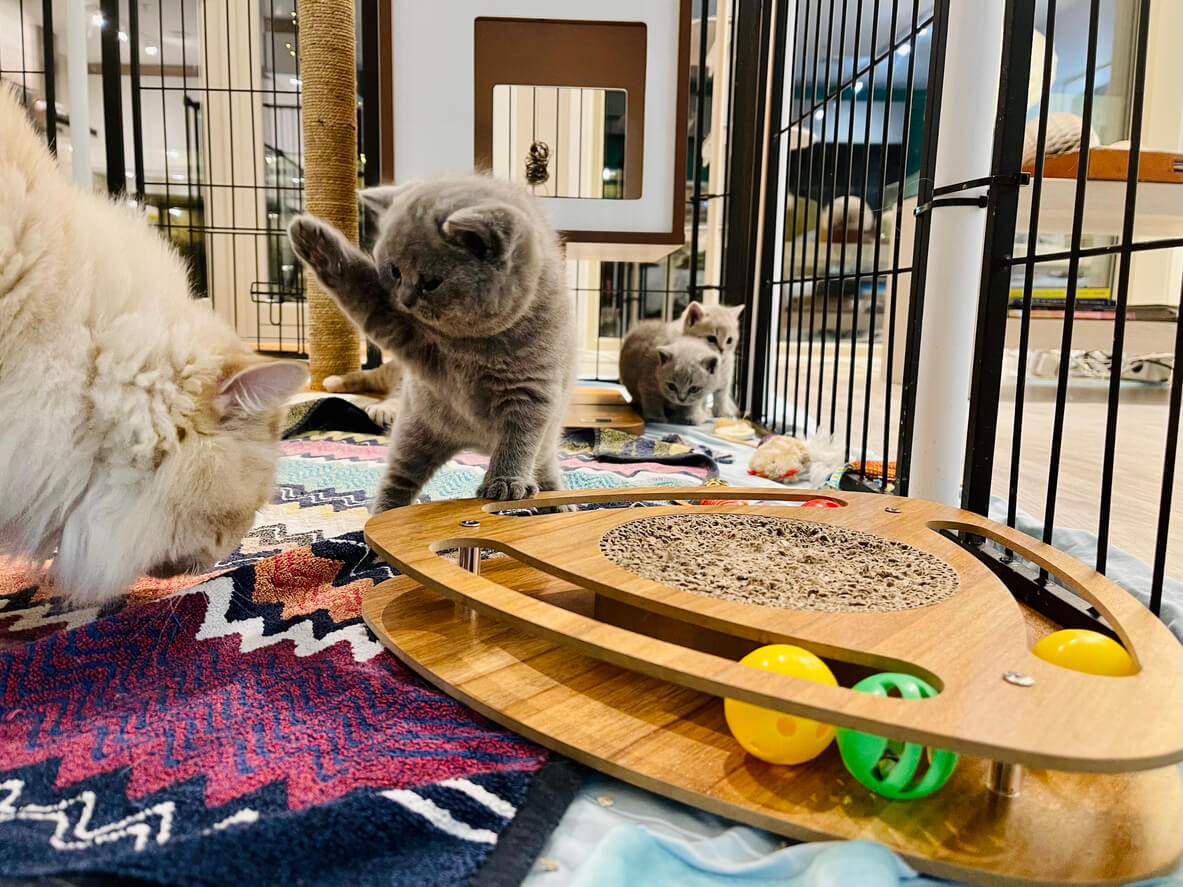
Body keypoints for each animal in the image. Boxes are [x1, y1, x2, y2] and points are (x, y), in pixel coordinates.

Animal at [291, 171, 577, 513]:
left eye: (431, 283)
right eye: (394, 271)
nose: (404, 300)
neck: (475, 346)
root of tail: (474, 443)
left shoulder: (531, 391)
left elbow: (518, 441)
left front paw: (505, 482)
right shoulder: (405, 332)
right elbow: (362, 291)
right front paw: (311, 238)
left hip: (544, 436)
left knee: (543, 465)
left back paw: (558, 503)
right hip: (417, 429)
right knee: (398, 479)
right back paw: (385, 513)